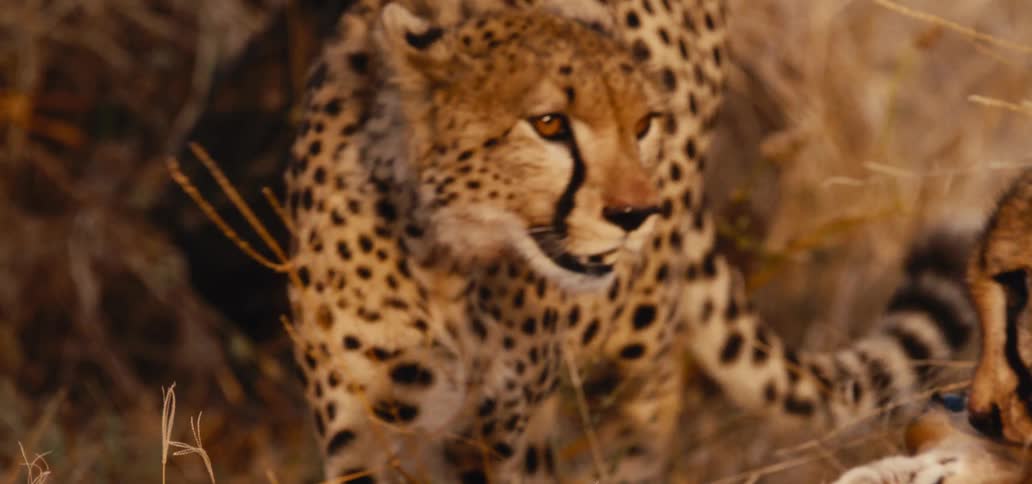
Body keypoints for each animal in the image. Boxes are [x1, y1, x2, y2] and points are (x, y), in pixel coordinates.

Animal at [284, 1, 978, 481]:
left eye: (642, 124)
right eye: (548, 124)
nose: (636, 212)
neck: (449, 255)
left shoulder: (492, 431)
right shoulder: (367, 428)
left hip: (634, 336)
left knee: (650, 402)